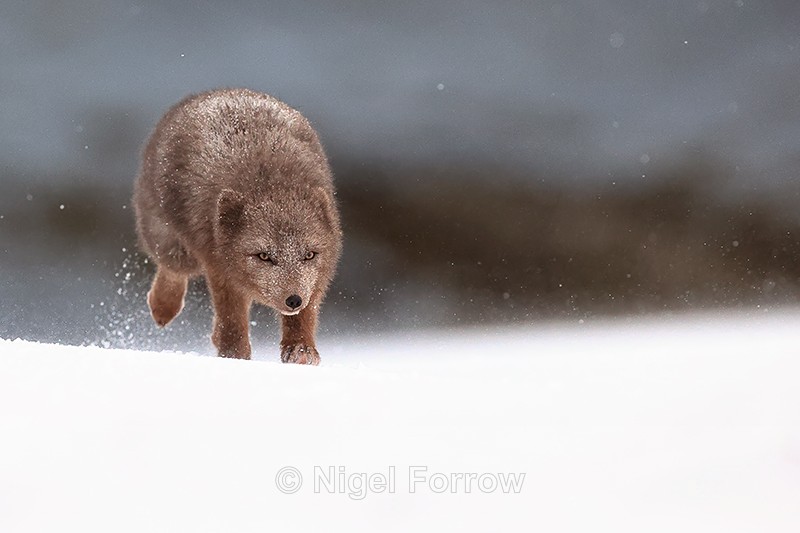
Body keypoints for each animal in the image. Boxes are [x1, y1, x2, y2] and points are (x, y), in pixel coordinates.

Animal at [132, 88, 342, 364]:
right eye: (263, 256)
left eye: (309, 255)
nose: (293, 300)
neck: (270, 179)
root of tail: (213, 92)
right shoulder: (221, 270)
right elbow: (232, 322)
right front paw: (234, 358)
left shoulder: (316, 279)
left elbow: (304, 318)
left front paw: (301, 350)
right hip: (174, 247)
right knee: (172, 270)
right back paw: (162, 308)